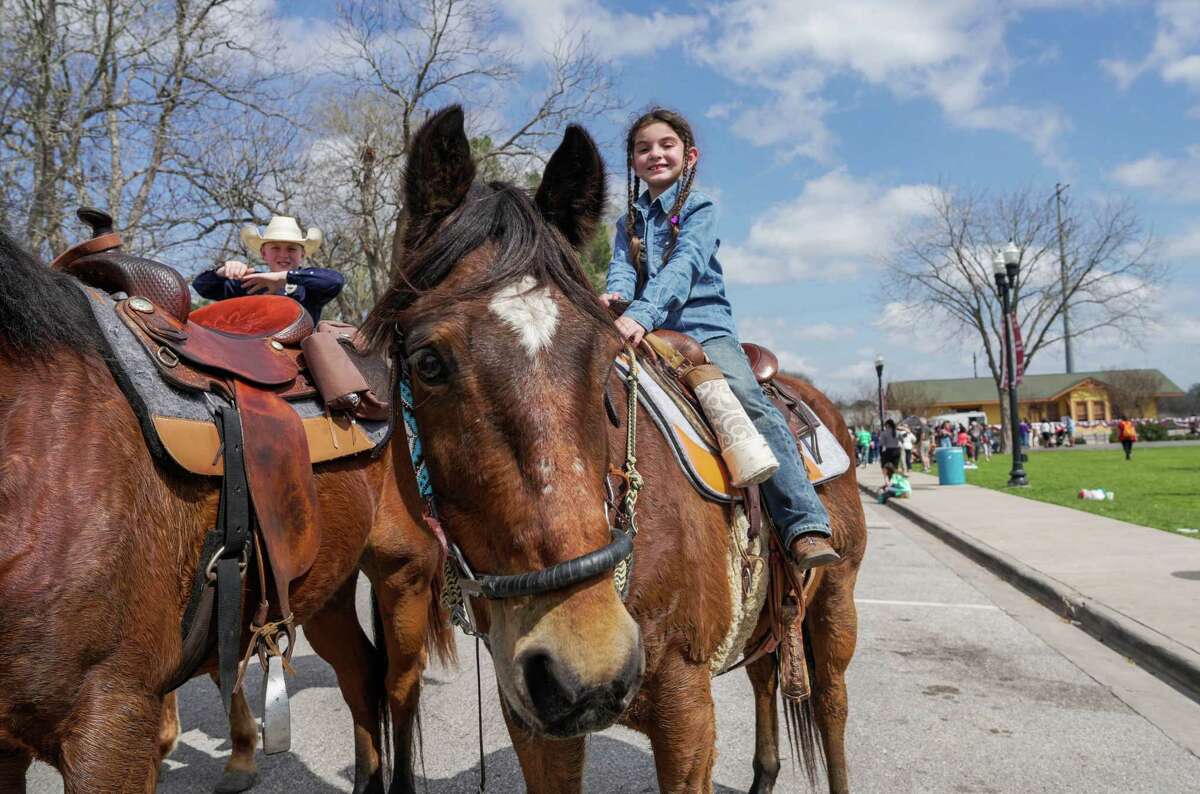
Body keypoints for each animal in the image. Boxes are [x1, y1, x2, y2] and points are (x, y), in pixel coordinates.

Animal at [360, 107, 868, 794]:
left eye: (606, 360)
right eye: (428, 363)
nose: (588, 661)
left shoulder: (687, 710)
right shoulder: (532, 719)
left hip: (835, 602)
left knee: (832, 704)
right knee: (767, 676)